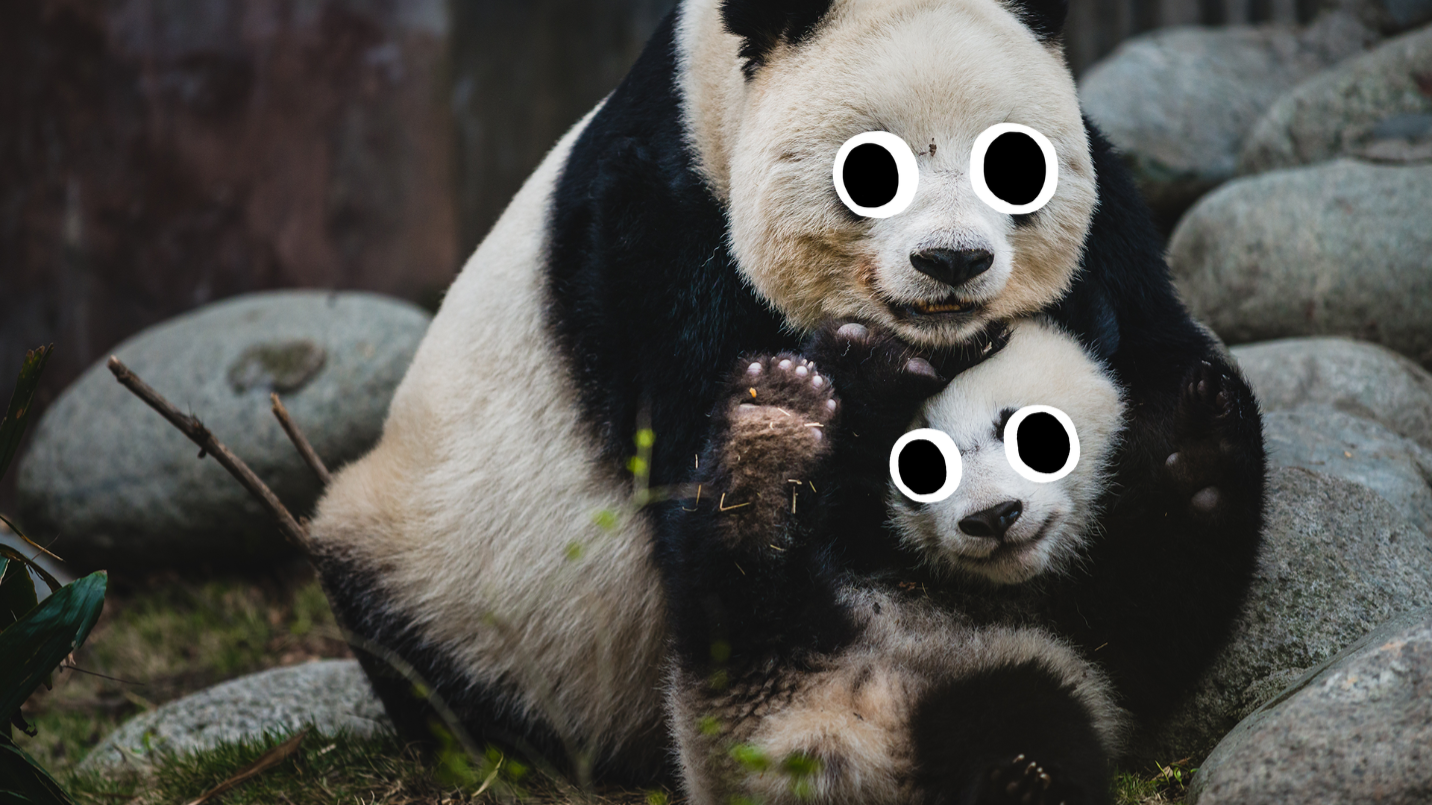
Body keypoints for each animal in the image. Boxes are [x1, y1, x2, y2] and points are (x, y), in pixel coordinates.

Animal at [663, 317, 1130, 805]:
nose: (992, 517)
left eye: (1033, 435)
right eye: (920, 465)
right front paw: (882, 363)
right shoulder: (860, 526)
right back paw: (772, 424)